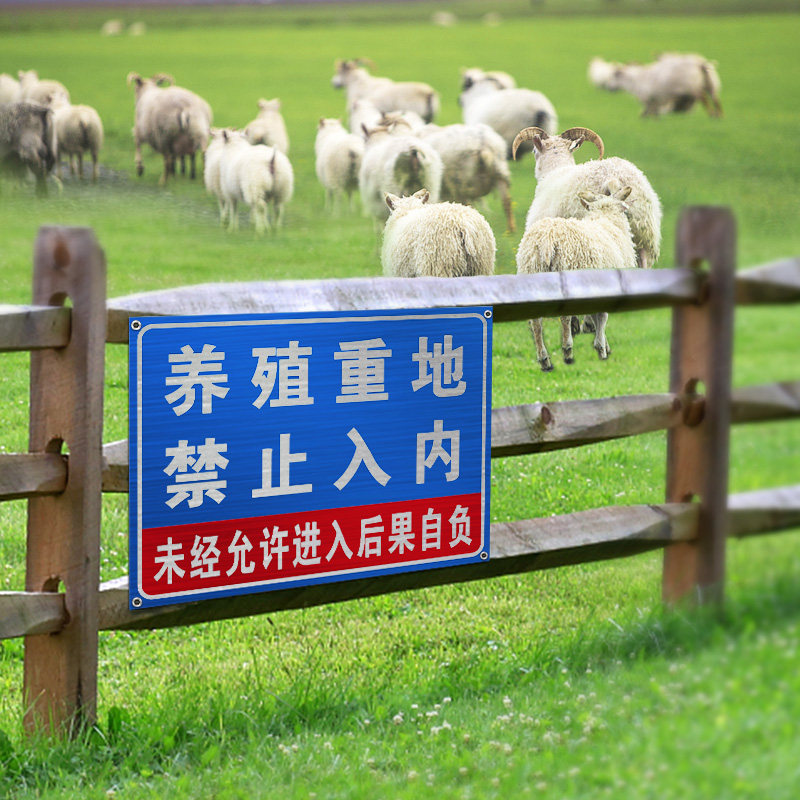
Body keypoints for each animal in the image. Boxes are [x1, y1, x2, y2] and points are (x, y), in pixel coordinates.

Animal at [516, 184, 636, 371]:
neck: (606, 220)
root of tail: (546, 241)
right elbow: (601, 317)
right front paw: (601, 349)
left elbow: (594, 317)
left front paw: (603, 345)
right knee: (564, 317)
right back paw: (567, 351)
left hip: (530, 273)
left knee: (536, 322)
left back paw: (544, 360)